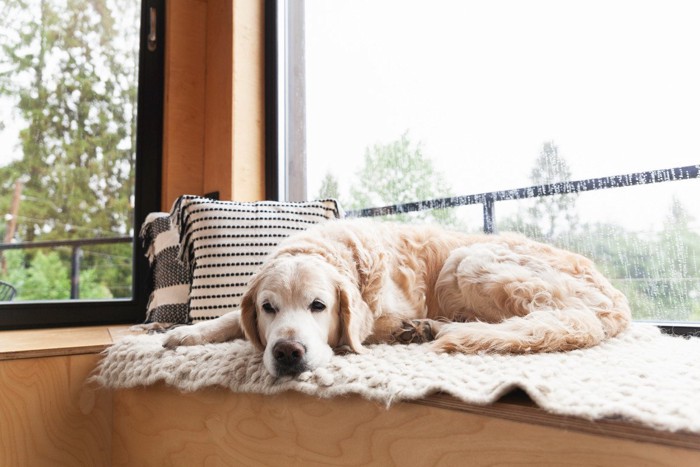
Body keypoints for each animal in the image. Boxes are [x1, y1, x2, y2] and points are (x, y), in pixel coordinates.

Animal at [163, 218, 628, 376]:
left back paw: (430, 328)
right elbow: (231, 317)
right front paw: (188, 333)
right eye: (267, 308)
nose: (287, 353)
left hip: (467, 260)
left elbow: (370, 327)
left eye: (319, 306)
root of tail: (616, 301)